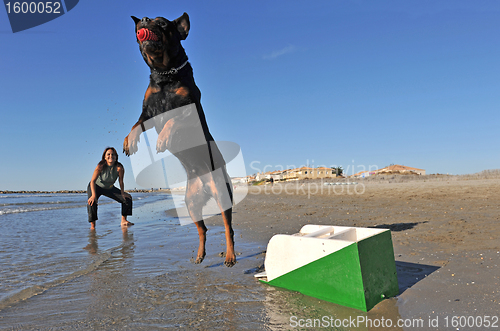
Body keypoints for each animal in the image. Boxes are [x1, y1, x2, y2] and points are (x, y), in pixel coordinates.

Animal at [124, 13, 235, 268]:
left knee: (228, 228)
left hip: (222, 193)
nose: (144, 19)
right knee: (203, 229)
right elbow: (136, 125)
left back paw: (230, 256)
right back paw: (200, 254)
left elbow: (173, 121)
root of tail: (205, 184)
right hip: (191, 203)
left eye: (162, 23)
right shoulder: (148, 111)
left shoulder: (189, 110)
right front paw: (129, 141)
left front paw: (163, 139)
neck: (166, 75)